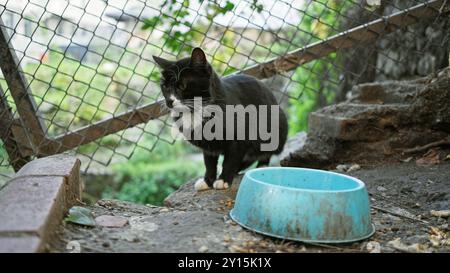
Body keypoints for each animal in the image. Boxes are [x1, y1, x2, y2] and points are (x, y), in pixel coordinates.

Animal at [154, 47, 288, 190]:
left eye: (182, 86)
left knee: (264, 152)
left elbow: (230, 160)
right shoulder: (207, 144)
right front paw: (207, 181)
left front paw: (224, 179)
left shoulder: (239, 139)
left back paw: (261, 167)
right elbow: (209, 163)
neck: (196, 111)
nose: (169, 101)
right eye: (165, 87)